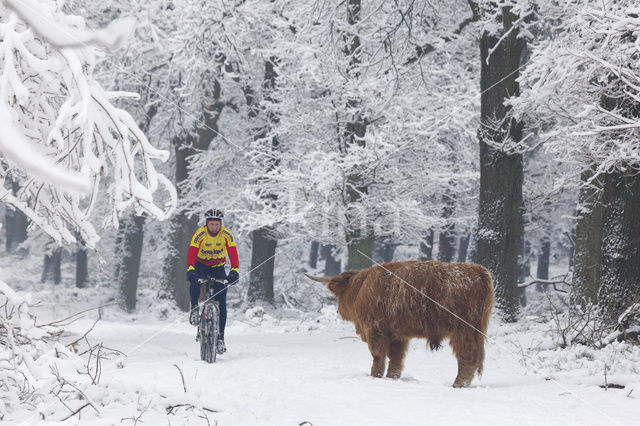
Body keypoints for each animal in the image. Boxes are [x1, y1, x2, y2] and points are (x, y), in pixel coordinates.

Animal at [304, 260, 496, 386]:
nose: (339, 310)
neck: (360, 287)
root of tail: (476, 269)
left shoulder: (375, 329)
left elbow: (378, 356)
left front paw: (374, 377)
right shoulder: (398, 335)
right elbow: (396, 359)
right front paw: (392, 378)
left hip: (462, 329)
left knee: (468, 356)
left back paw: (457, 384)